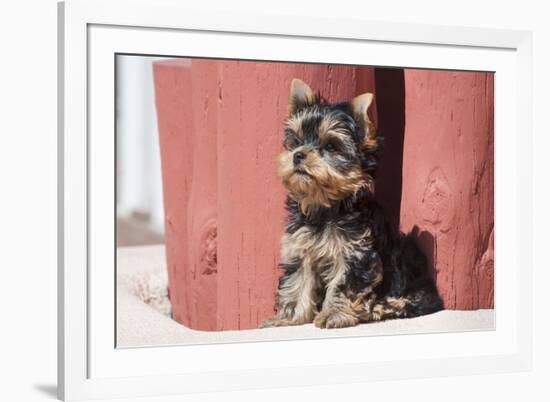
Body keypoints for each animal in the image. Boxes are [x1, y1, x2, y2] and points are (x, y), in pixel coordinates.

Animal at [262, 79, 444, 330]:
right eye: (296, 142)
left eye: (330, 147)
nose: (298, 155)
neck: (326, 206)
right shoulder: (301, 249)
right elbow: (297, 281)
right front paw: (289, 318)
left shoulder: (355, 252)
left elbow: (343, 283)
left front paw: (333, 314)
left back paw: (377, 308)